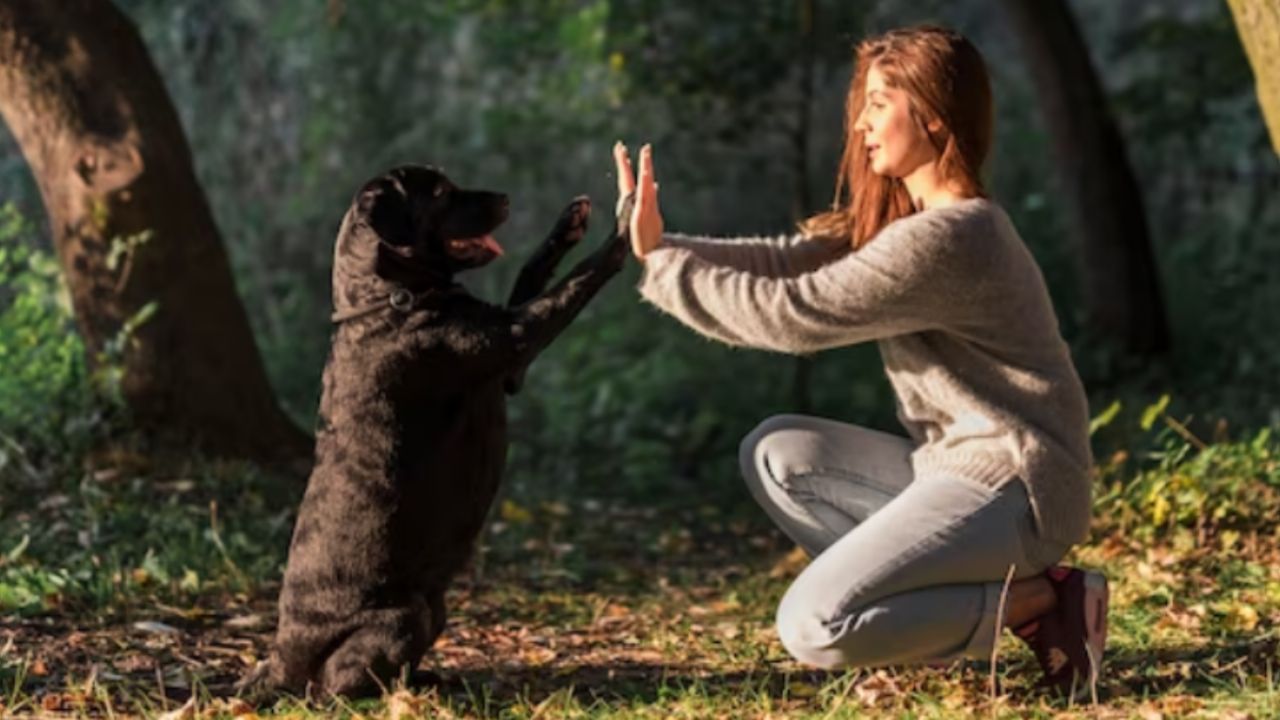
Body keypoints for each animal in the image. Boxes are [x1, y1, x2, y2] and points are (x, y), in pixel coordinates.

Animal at [253, 163, 629, 696]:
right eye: (440, 193)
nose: (505, 197)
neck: (390, 297)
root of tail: (280, 662)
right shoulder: (518, 337)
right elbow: (574, 283)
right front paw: (625, 230)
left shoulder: (511, 369)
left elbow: (531, 274)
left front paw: (568, 223)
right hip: (403, 617)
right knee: (339, 685)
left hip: (436, 608)